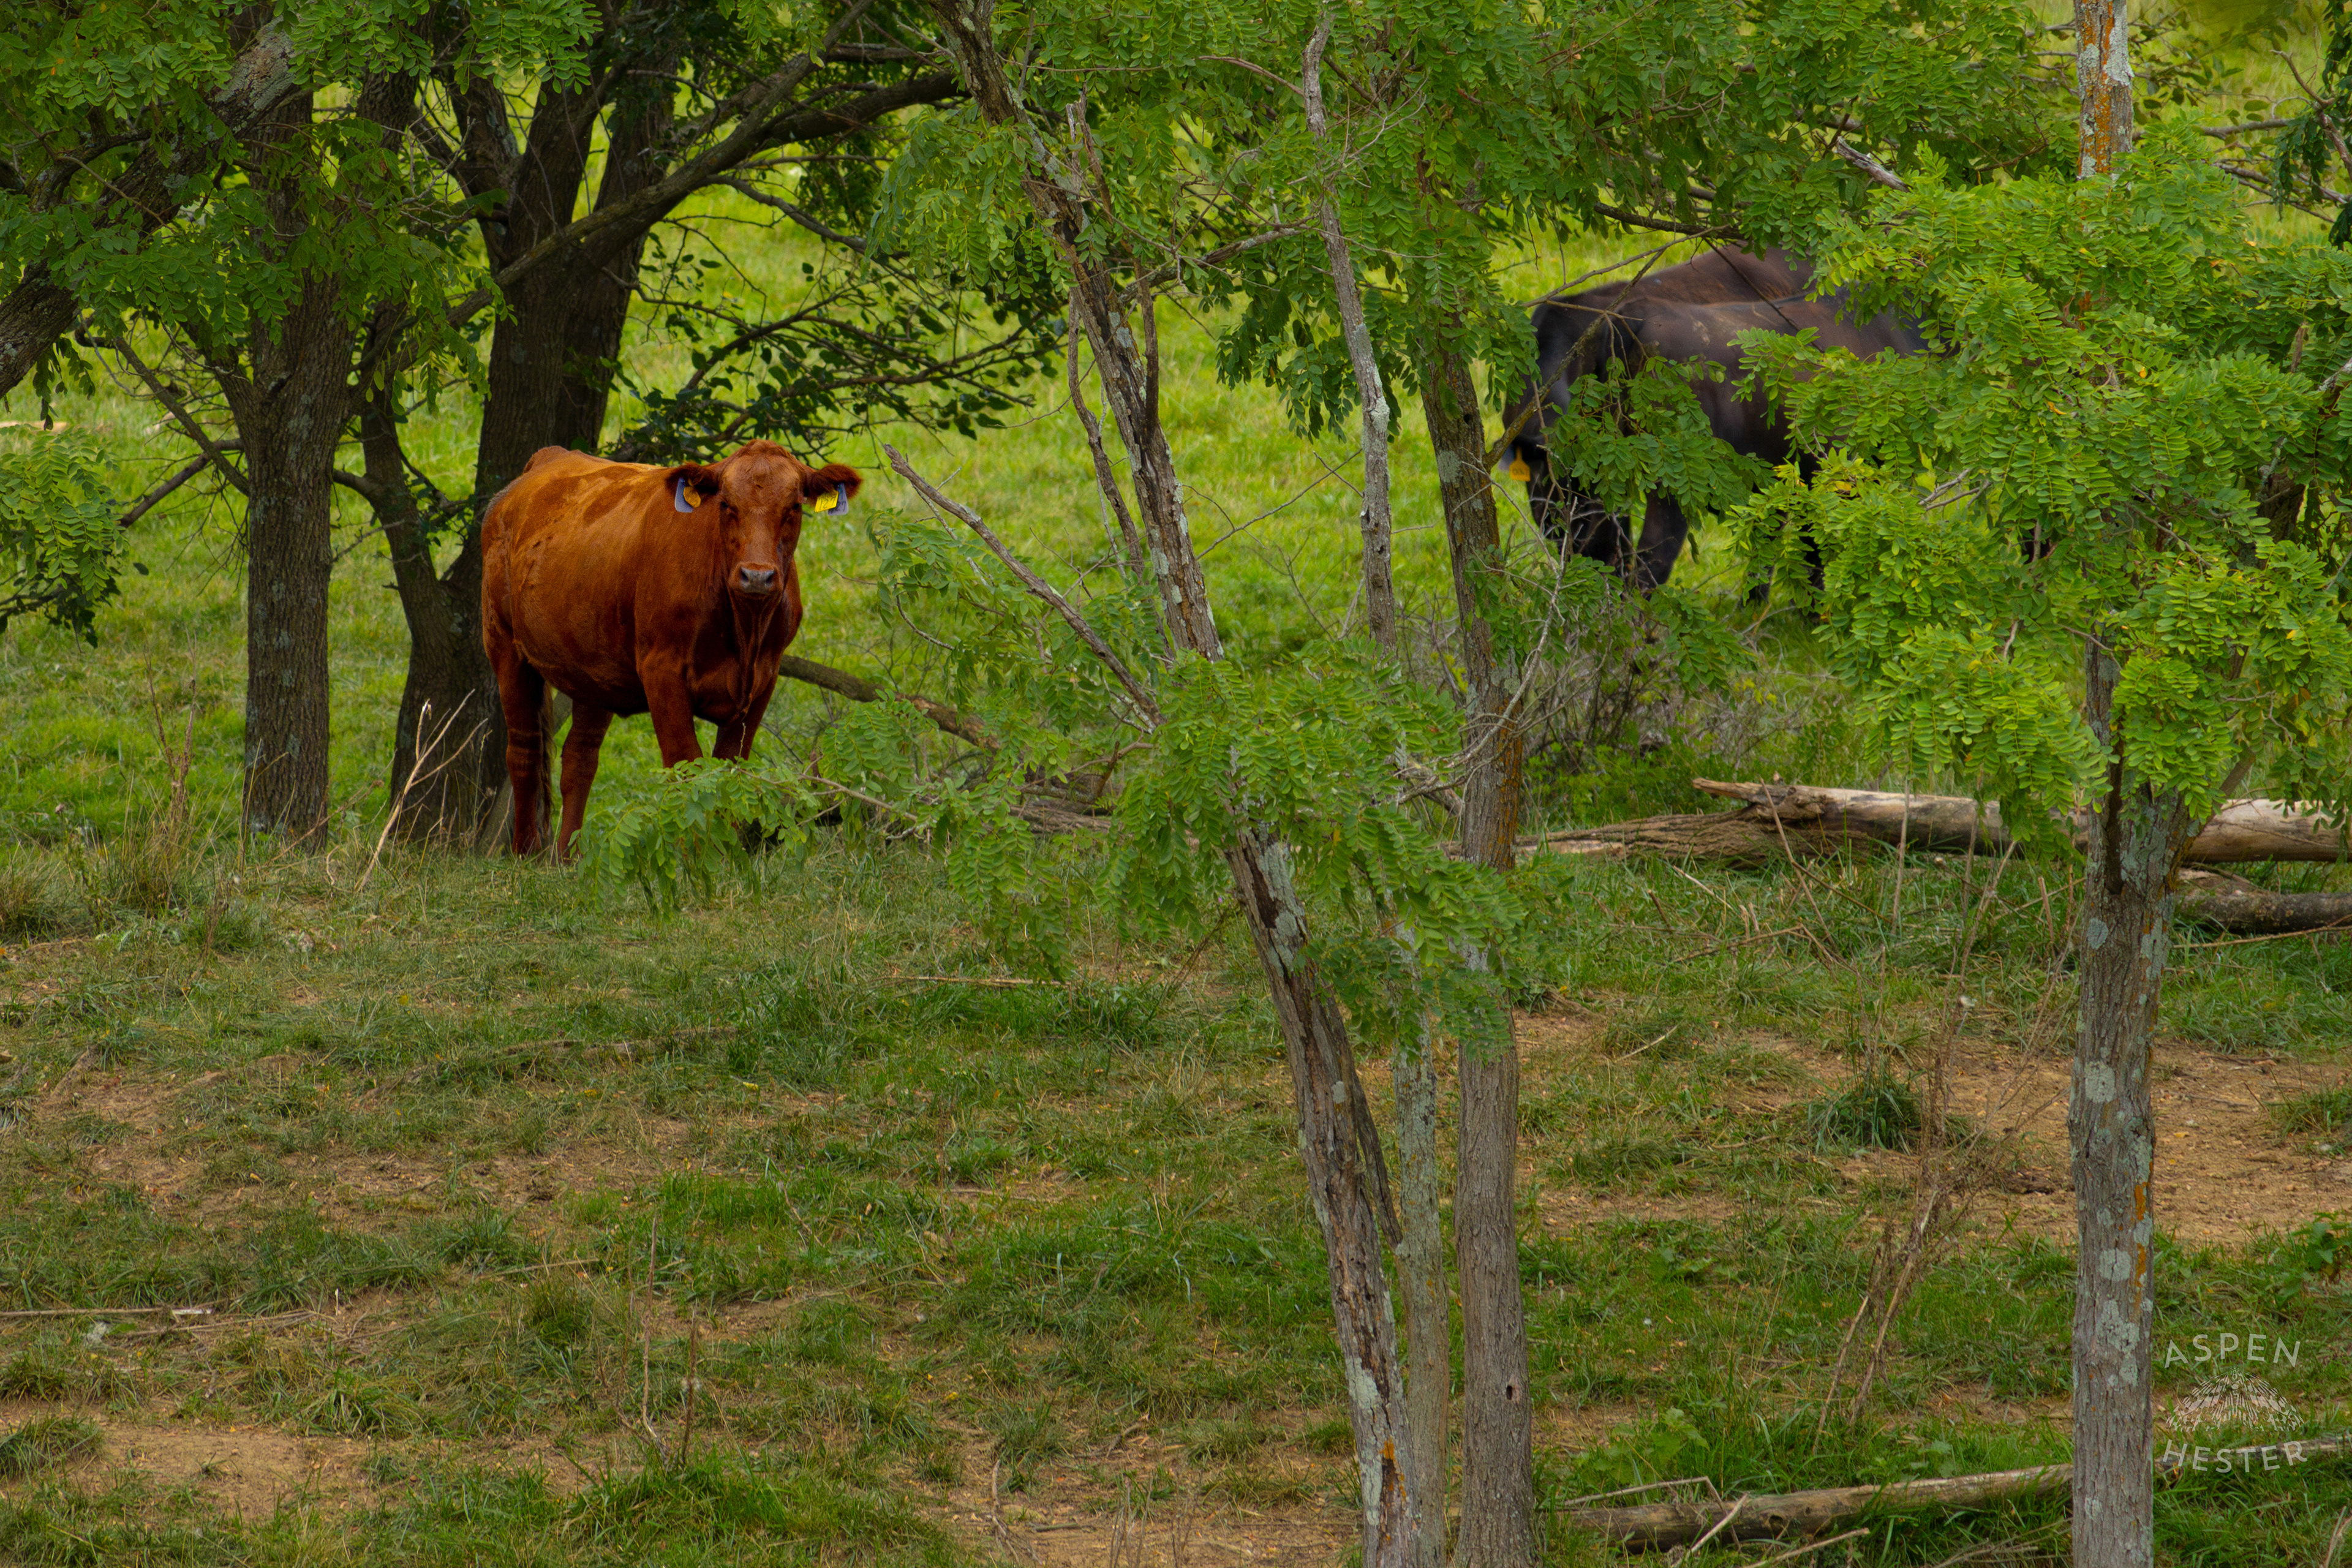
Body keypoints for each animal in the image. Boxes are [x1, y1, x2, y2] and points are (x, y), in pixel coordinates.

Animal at [481, 439, 862, 858]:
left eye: (794, 506)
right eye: (726, 504)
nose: (757, 576)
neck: (744, 630)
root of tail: (550, 457)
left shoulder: (764, 679)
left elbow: (730, 769)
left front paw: (726, 856)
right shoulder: (662, 671)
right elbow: (686, 766)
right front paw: (697, 855)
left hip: (593, 670)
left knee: (580, 758)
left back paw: (569, 857)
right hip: (503, 645)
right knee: (525, 748)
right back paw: (525, 851)